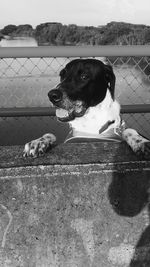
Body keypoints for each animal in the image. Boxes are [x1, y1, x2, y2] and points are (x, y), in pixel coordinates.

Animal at [22, 59, 150, 159]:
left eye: (84, 76)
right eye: (62, 75)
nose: (52, 95)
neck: (90, 120)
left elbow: (128, 131)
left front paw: (140, 141)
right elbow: (51, 134)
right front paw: (38, 142)